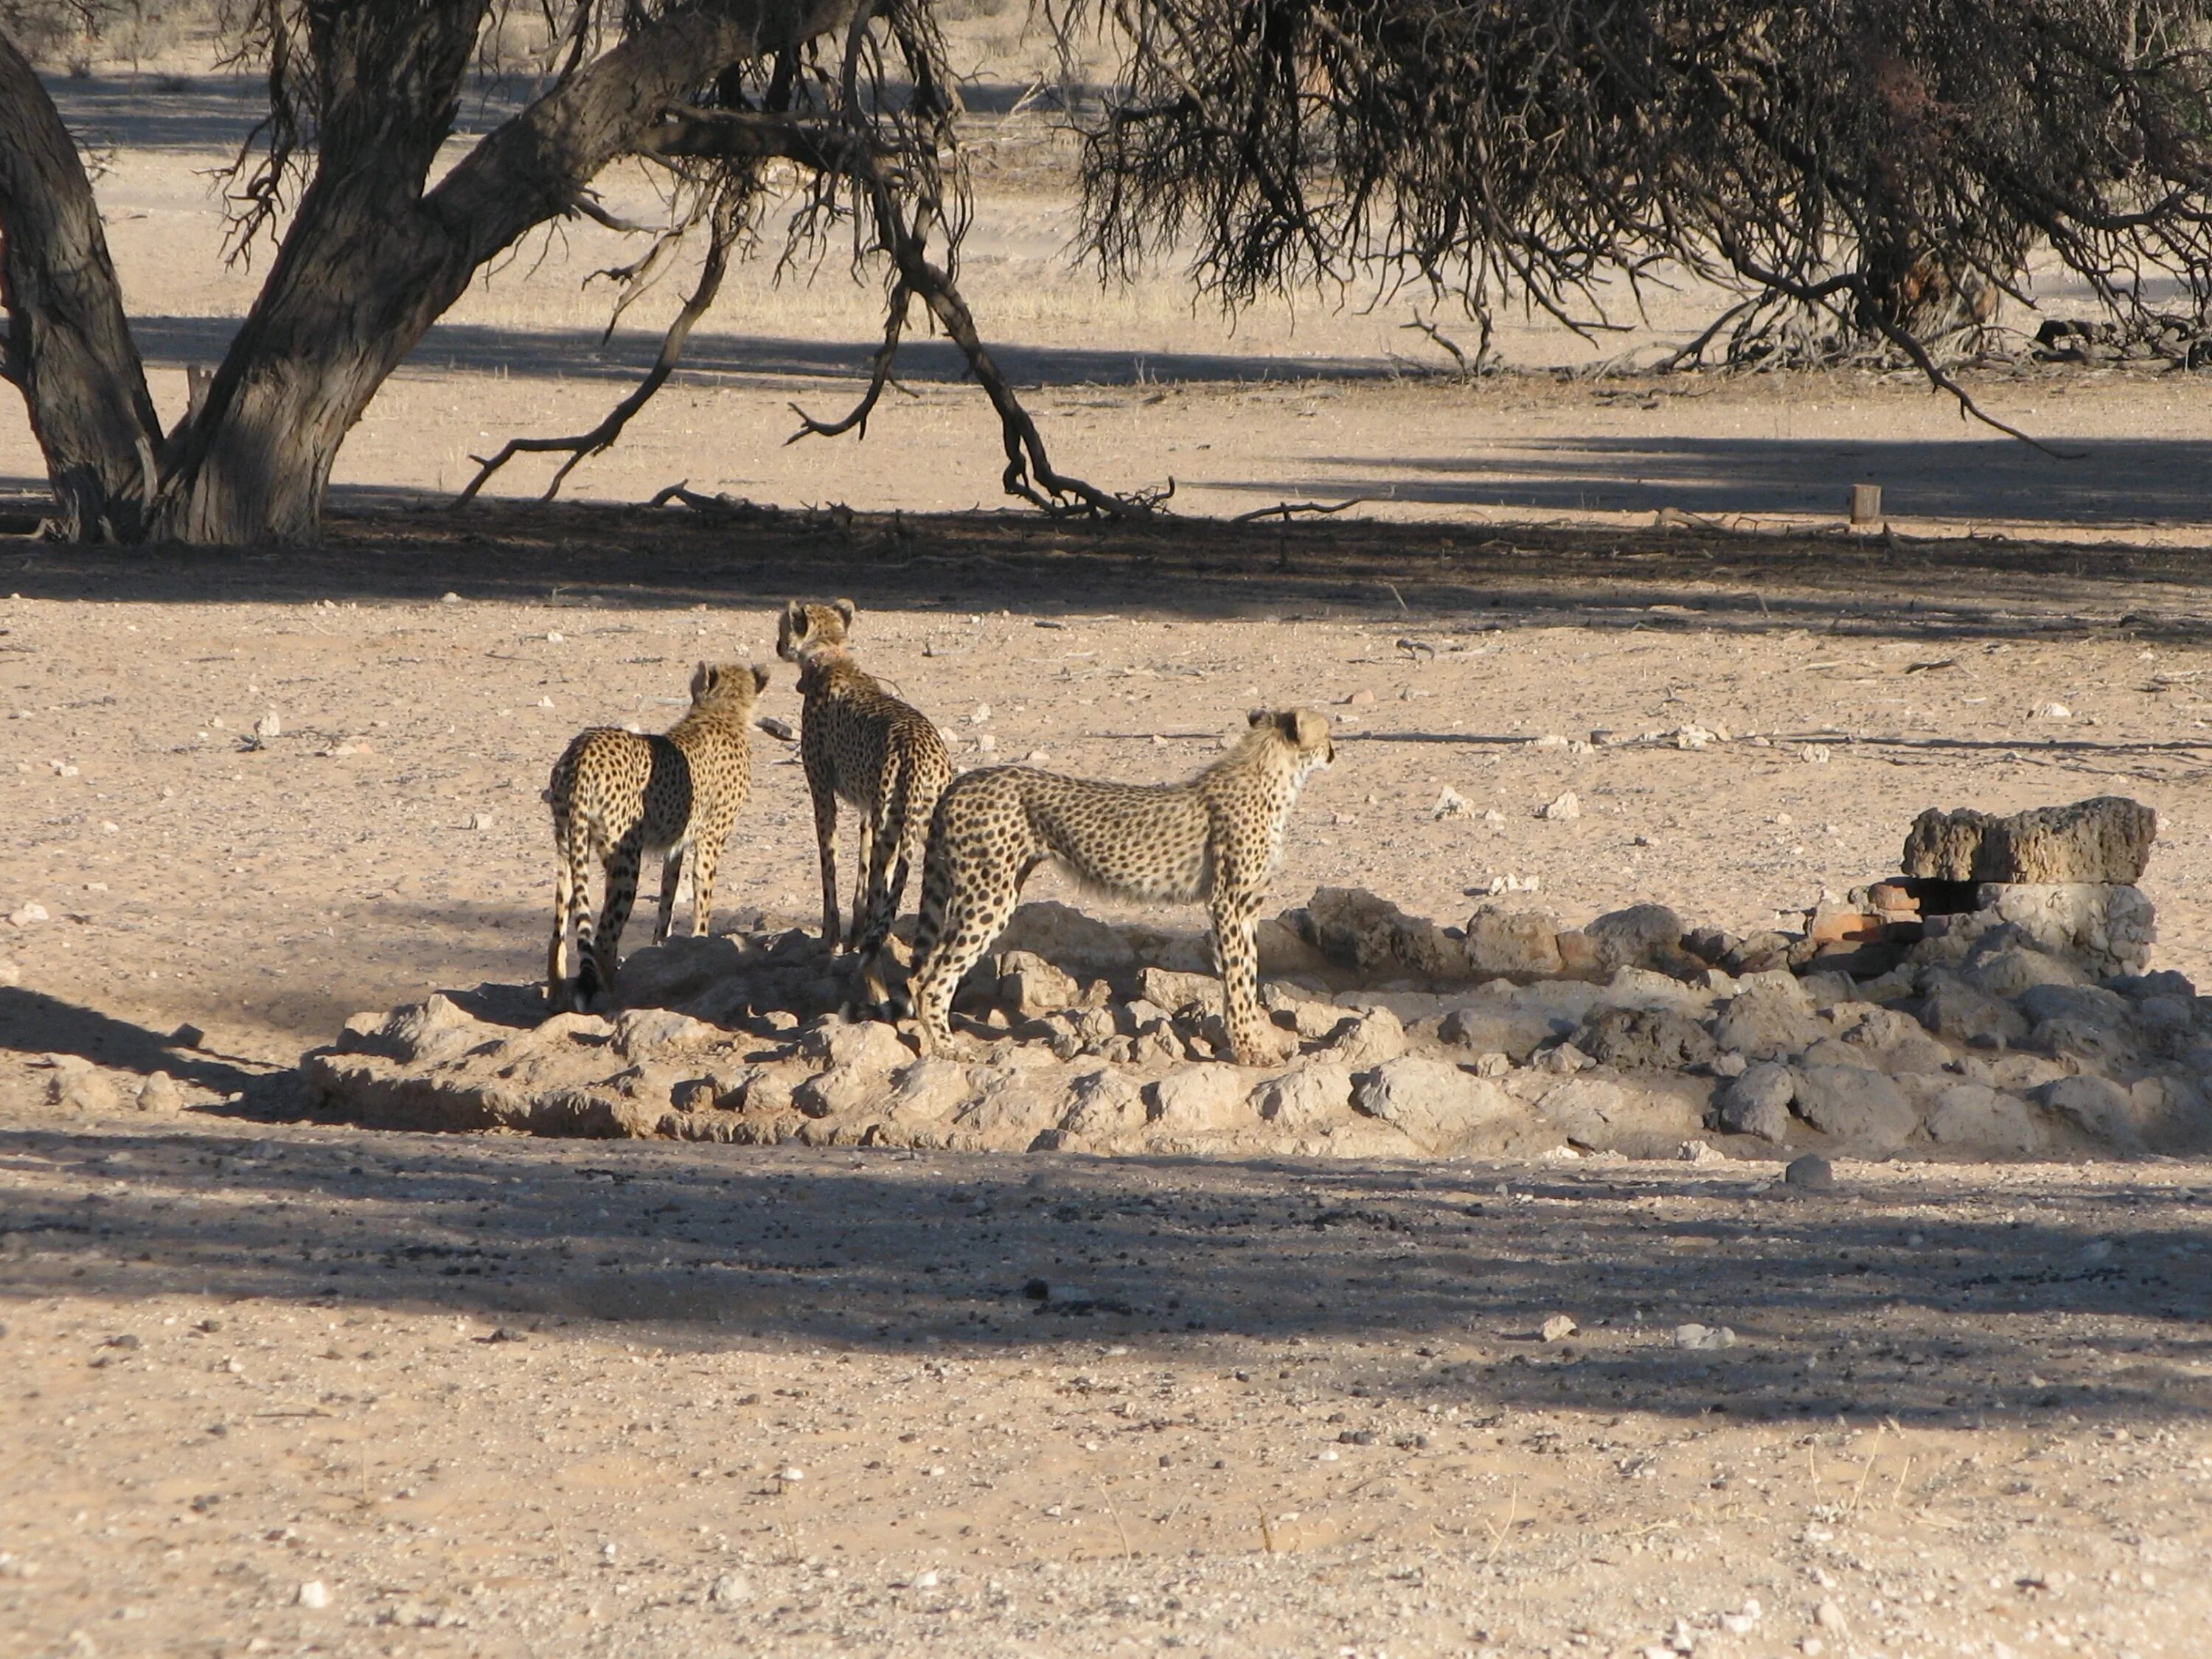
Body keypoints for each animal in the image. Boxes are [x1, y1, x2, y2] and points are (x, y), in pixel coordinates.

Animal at [544, 664, 770, 1013]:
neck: (719, 710)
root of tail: (585, 747)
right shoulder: (710, 840)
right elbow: (702, 898)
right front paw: (700, 942)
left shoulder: (675, 846)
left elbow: (667, 898)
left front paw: (662, 946)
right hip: (624, 856)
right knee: (604, 937)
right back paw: (617, 996)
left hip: (566, 843)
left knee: (559, 927)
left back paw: (556, 995)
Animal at [779, 602, 951, 973]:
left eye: (783, 625)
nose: (778, 645)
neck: (831, 658)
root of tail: (922, 750)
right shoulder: (868, 807)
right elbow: (862, 863)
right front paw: (853, 934)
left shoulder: (823, 792)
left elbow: (830, 861)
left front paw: (830, 938)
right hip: (928, 828)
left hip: (895, 823)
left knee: (882, 886)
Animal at [898, 712, 1327, 1066]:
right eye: (1327, 733)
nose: (1334, 751)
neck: (1270, 772)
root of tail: (961, 782)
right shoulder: (1230, 905)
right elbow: (1239, 977)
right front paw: (1250, 1051)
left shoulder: (1246, 907)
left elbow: (1247, 973)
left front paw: (1252, 1040)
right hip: (988, 894)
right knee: (931, 978)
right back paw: (947, 1048)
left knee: (924, 970)